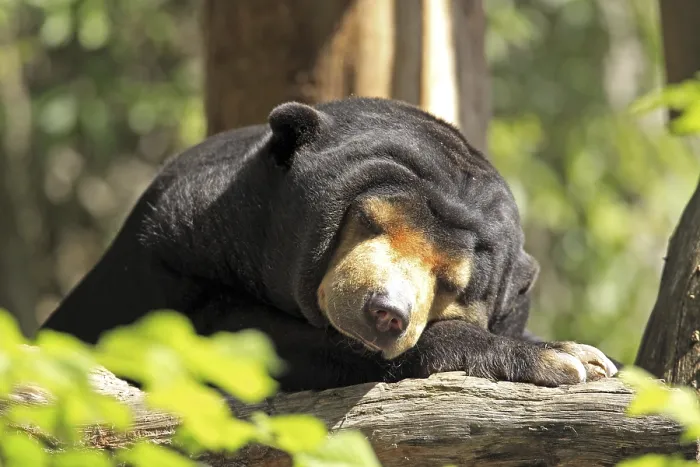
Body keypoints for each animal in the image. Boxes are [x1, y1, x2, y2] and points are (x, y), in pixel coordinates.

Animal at [42, 97, 618, 392]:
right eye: (366, 220)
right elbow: (255, 345)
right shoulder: (171, 263)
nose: (386, 313)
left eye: (451, 282)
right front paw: (567, 358)